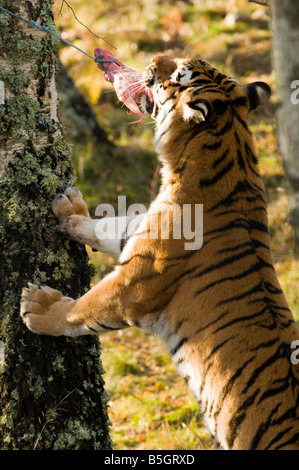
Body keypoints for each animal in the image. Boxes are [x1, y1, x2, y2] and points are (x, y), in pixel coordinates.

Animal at [20, 53, 299, 450]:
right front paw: (70, 209)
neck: (230, 151)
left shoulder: (135, 285)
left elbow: (82, 311)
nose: (154, 59)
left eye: (179, 74)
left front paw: (39, 308)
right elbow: (107, 227)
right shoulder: (139, 232)